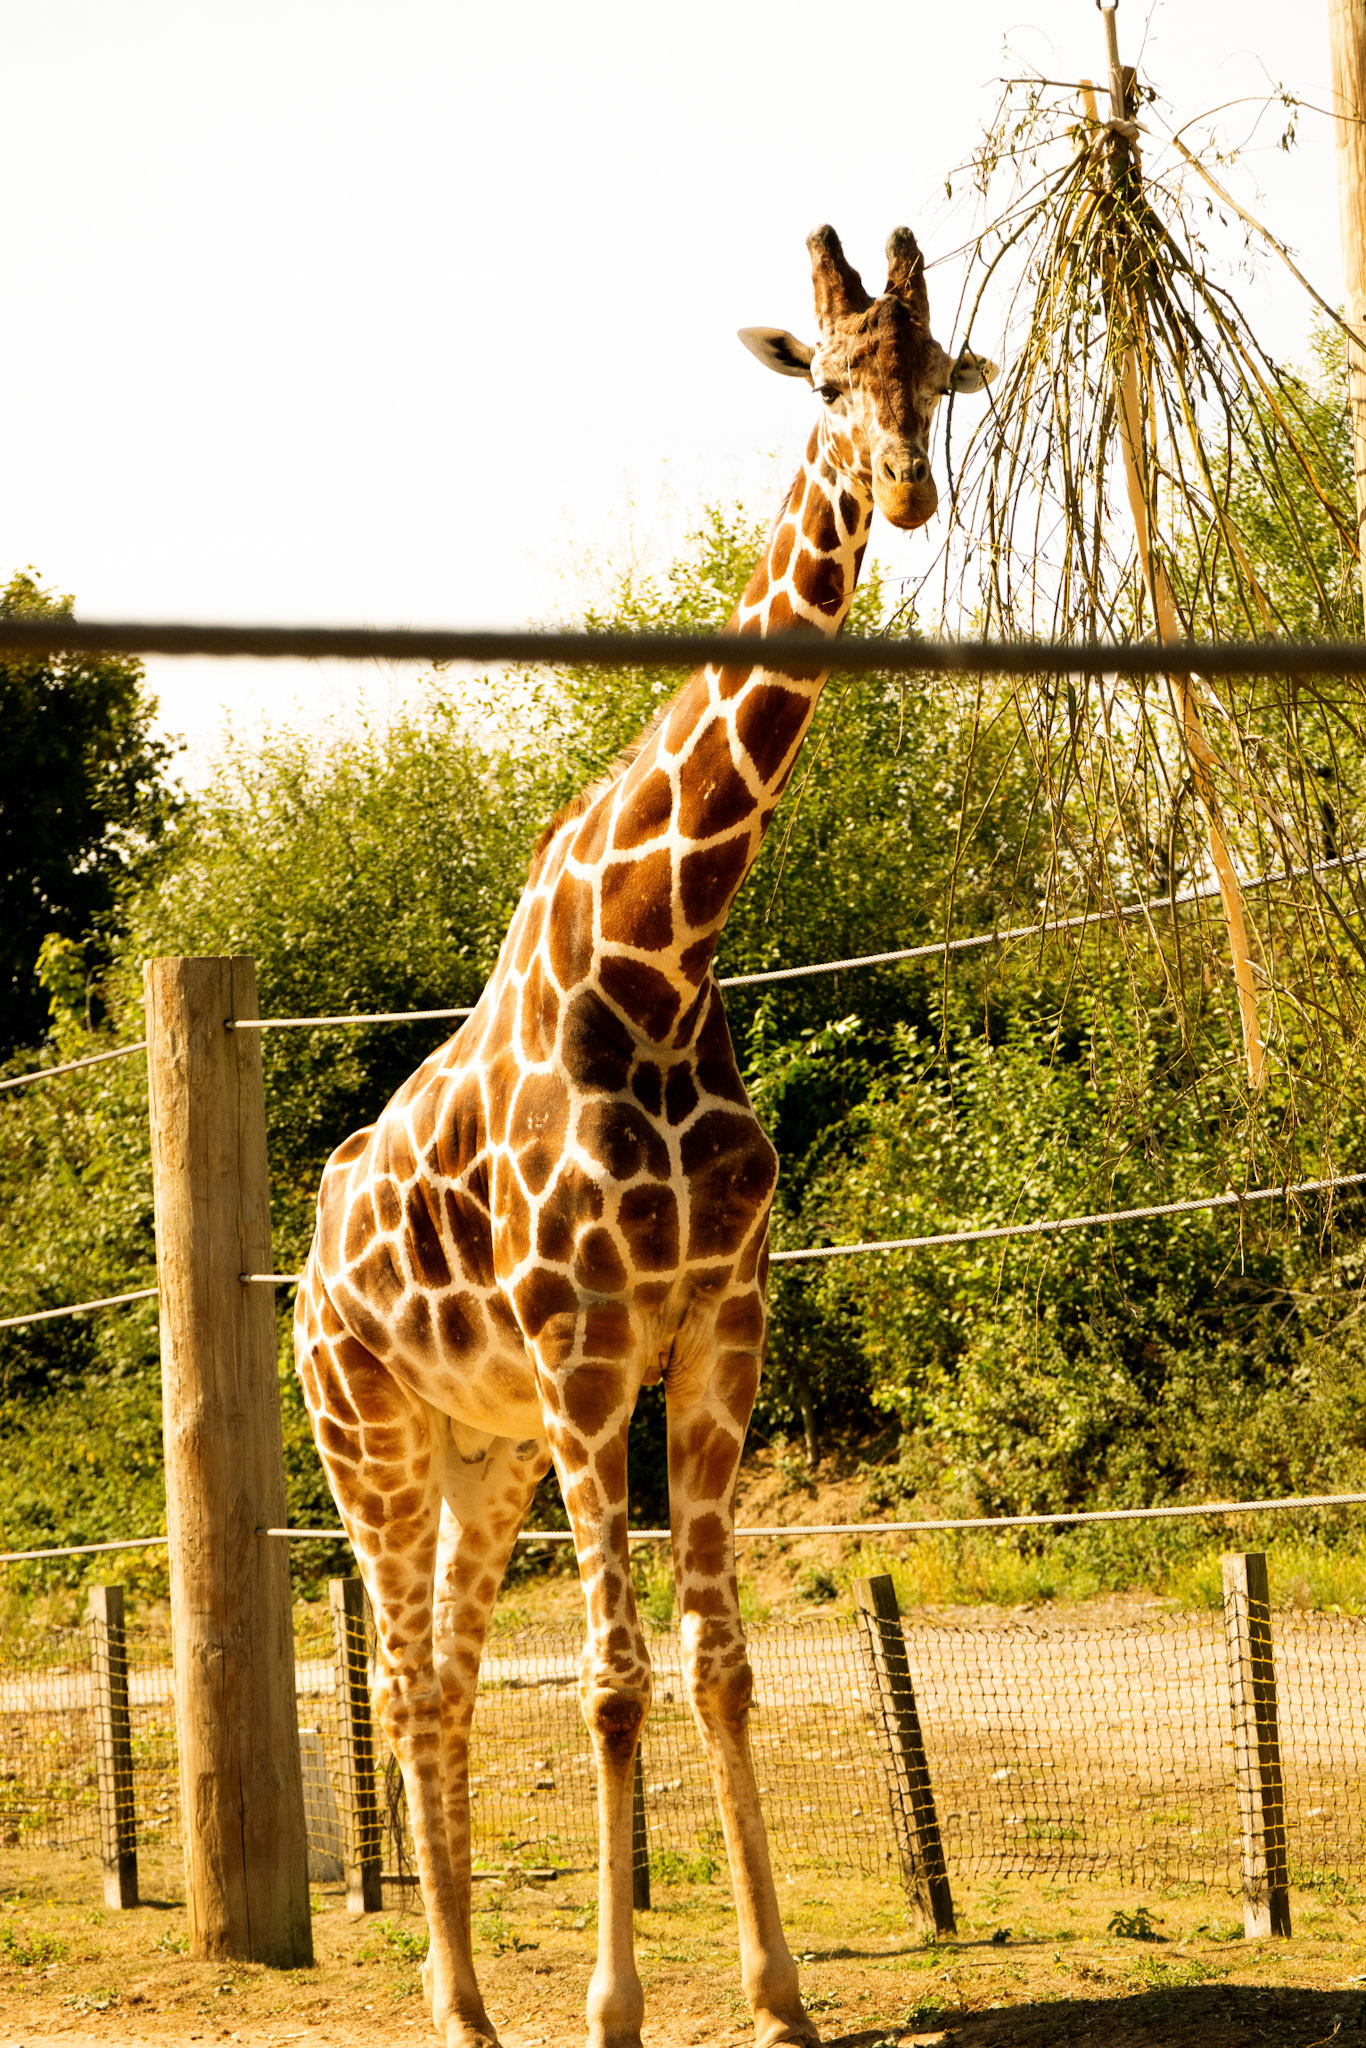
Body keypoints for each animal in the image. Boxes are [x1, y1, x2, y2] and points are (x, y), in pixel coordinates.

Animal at [294, 224, 995, 2048]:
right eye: (825, 381)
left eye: (933, 370)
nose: (904, 486)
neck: (659, 962)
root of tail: (306, 1265)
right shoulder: (585, 1345)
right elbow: (612, 1683)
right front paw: (615, 2006)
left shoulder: (720, 1322)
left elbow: (716, 1662)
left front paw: (781, 1997)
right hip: (367, 1437)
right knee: (400, 1672)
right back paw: (460, 2004)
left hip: (479, 1457)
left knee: (451, 1679)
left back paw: (470, 1997)